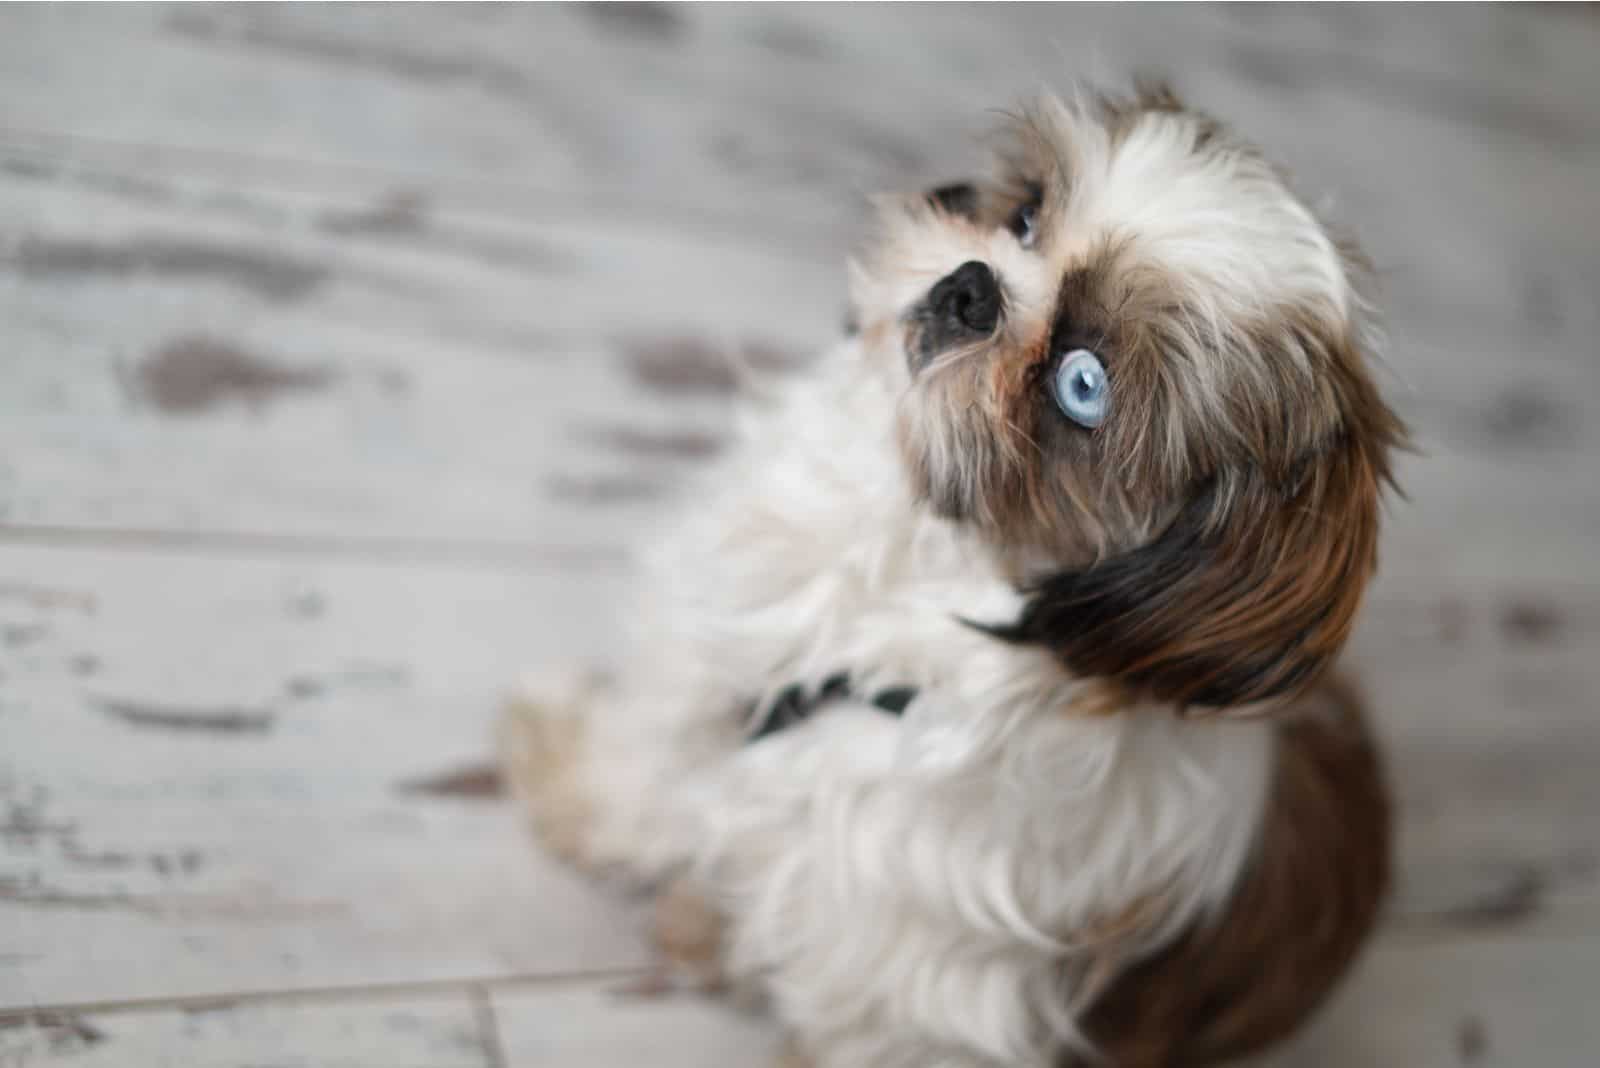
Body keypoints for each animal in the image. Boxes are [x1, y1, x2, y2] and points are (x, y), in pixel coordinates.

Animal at [505, 85, 1408, 1068]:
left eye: (1084, 385)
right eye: (1024, 217)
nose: (971, 287)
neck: (906, 568)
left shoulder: (908, 1002)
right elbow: (642, 763)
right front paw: (563, 774)